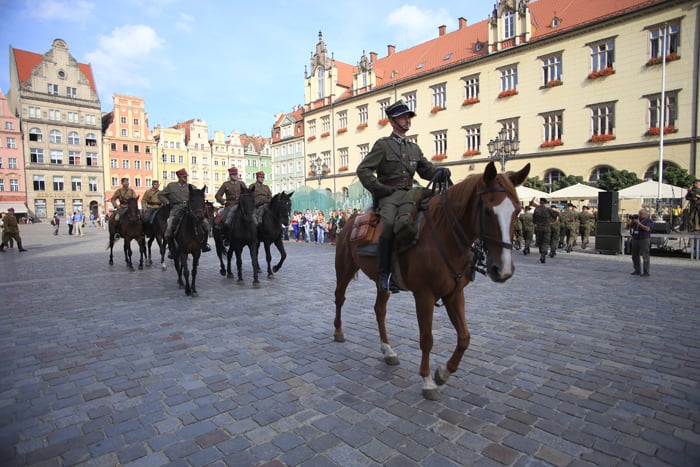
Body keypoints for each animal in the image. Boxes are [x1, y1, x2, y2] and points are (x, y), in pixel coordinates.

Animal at [330, 163, 528, 400]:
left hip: (381, 282)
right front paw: (427, 380)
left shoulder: (454, 294)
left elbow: (464, 337)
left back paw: (388, 350)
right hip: (344, 269)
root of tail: (351, 220)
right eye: (488, 211)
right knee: (339, 298)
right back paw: (338, 332)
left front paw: (443, 373)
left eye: (517, 210)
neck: (445, 235)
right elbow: (427, 338)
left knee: (379, 310)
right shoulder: (424, 296)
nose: (503, 270)